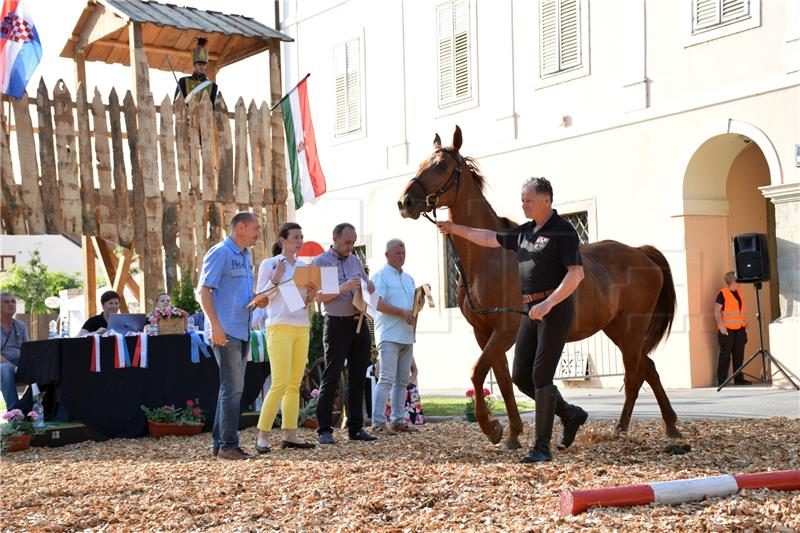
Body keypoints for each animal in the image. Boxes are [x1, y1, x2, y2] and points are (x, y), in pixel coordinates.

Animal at [400, 125, 680, 448]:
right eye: (422, 163)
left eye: (442, 165)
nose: (405, 201)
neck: (488, 259)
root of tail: (639, 252)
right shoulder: (484, 333)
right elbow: (503, 380)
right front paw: (512, 432)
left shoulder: (505, 331)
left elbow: (477, 372)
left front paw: (491, 426)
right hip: (616, 329)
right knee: (646, 369)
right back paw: (658, 426)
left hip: (630, 329)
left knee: (636, 374)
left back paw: (630, 429)